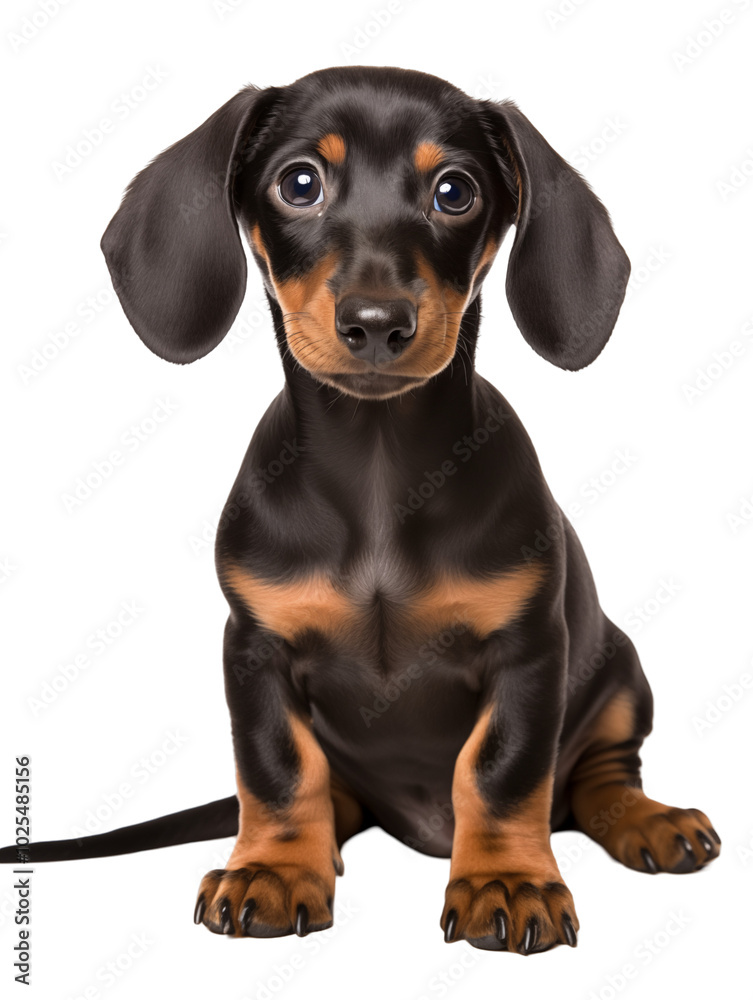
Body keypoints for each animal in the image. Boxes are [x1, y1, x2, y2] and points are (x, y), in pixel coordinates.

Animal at [2, 66, 720, 954]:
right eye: (299, 182)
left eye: (455, 191)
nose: (376, 322)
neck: (380, 472)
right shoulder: (255, 649)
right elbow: (278, 771)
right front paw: (275, 868)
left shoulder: (528, 653)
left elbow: (501, 771)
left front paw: (507, 881)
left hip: (620, 672)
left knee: (597, 776)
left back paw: (649, 819)